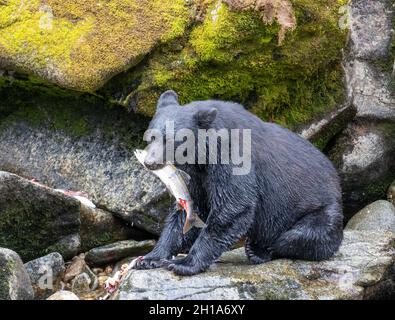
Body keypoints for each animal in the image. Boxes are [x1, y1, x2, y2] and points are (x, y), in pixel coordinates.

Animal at [133, 90, 344, 276]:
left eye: (172, 140)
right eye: (151, 136)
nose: (150, 162)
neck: (204, 152)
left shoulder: (232, 157)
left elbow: (233, 207)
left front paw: (184, 263)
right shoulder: (196, 174)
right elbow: (189, 208)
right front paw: (149, 258)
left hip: (322, 213)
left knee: (301, 236)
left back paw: (257, 250)